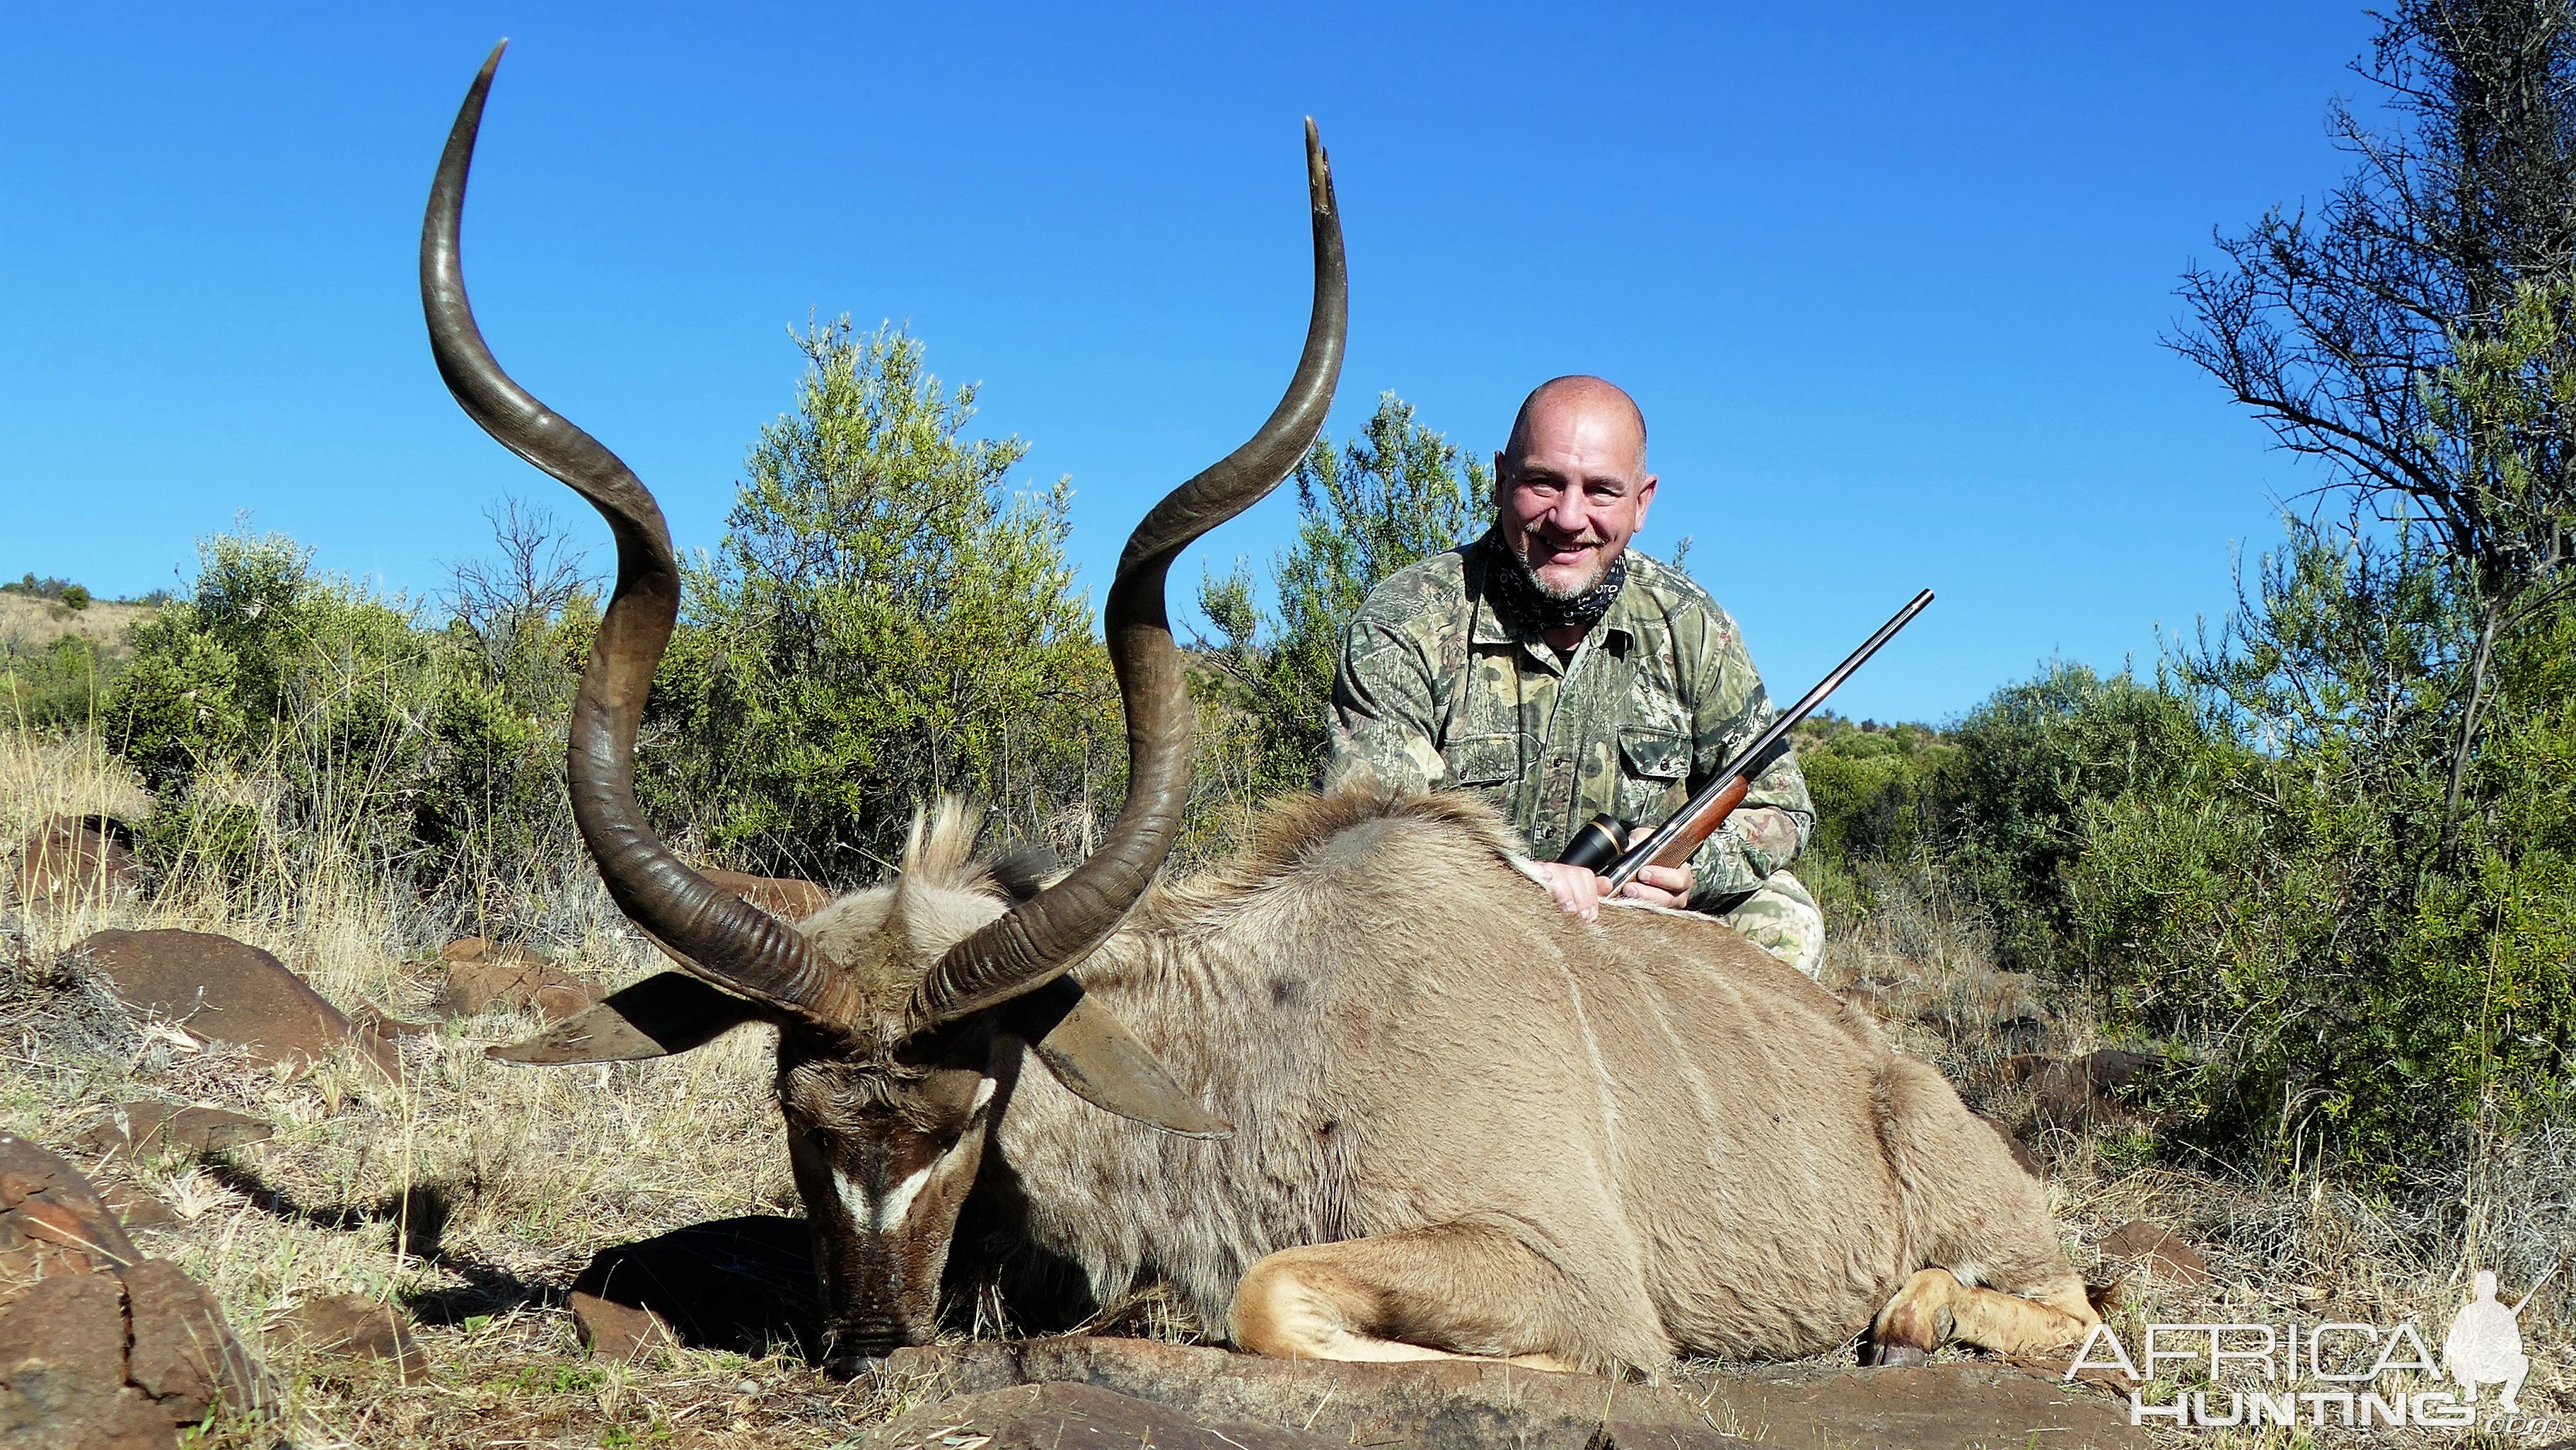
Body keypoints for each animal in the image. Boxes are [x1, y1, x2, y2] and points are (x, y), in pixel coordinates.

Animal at [427, 45, 2091, 1380]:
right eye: (793, 1108)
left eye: (970, 1109)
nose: (868, 1339)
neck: (1263, 1034)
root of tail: (1902, 1075)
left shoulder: (1562, 1273)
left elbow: (1276, 1299)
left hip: (1993, 1227)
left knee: (2050, 1301)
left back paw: (1912, 1317)